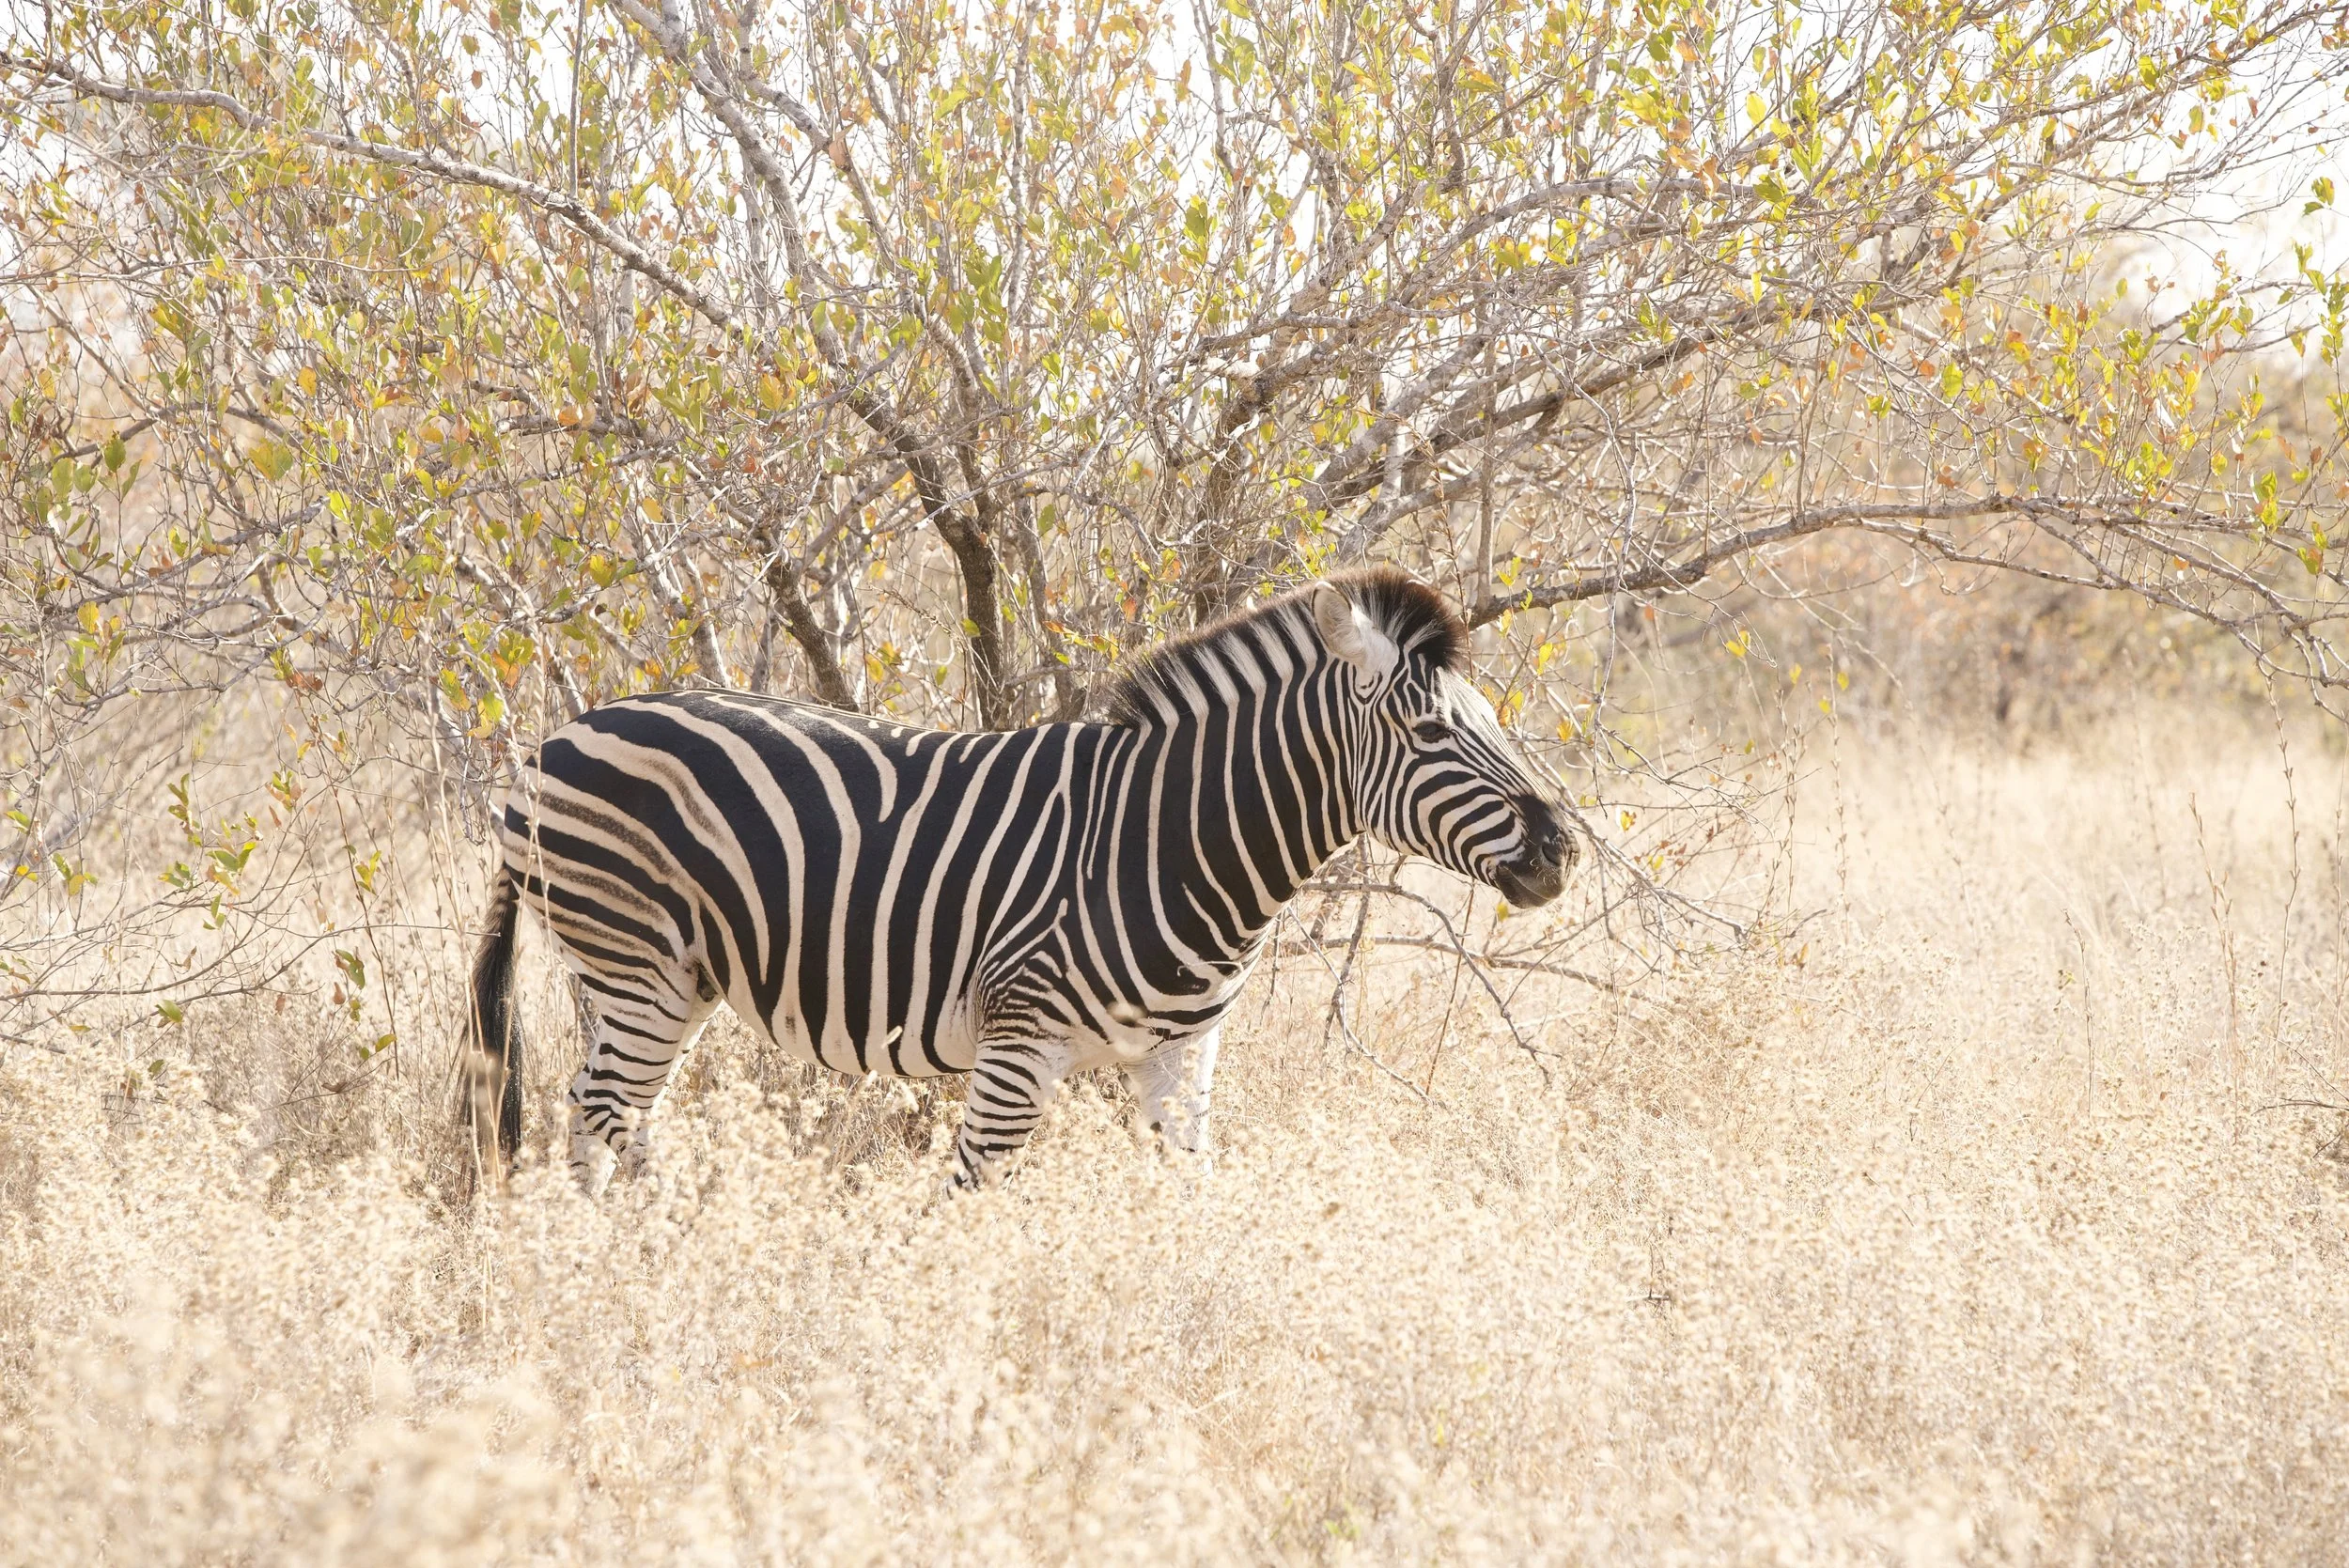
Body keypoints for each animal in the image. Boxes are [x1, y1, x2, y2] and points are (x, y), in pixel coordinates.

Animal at [464, 569, 1577, 1192]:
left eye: (1489, 717)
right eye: (1429, 730)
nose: (1562, 848)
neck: (1168, 842)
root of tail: (551, 742)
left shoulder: (1182, 1054)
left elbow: (1193, 1197)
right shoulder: (1016, 1042)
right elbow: (972, 1204)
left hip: (667, 979)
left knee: (607, 1112)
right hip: (638, 965)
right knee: (601, 1109)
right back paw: (651, 1246)